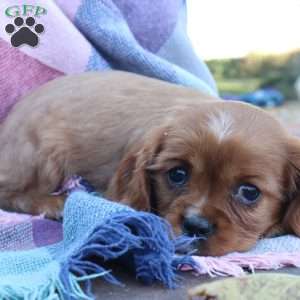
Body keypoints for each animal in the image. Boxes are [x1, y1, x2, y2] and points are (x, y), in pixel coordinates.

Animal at [0, 71, 300, 255]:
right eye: (177, 174)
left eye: (250, 192)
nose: (195, 226)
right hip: (43, 153)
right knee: (10, 192)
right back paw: (54, 204)